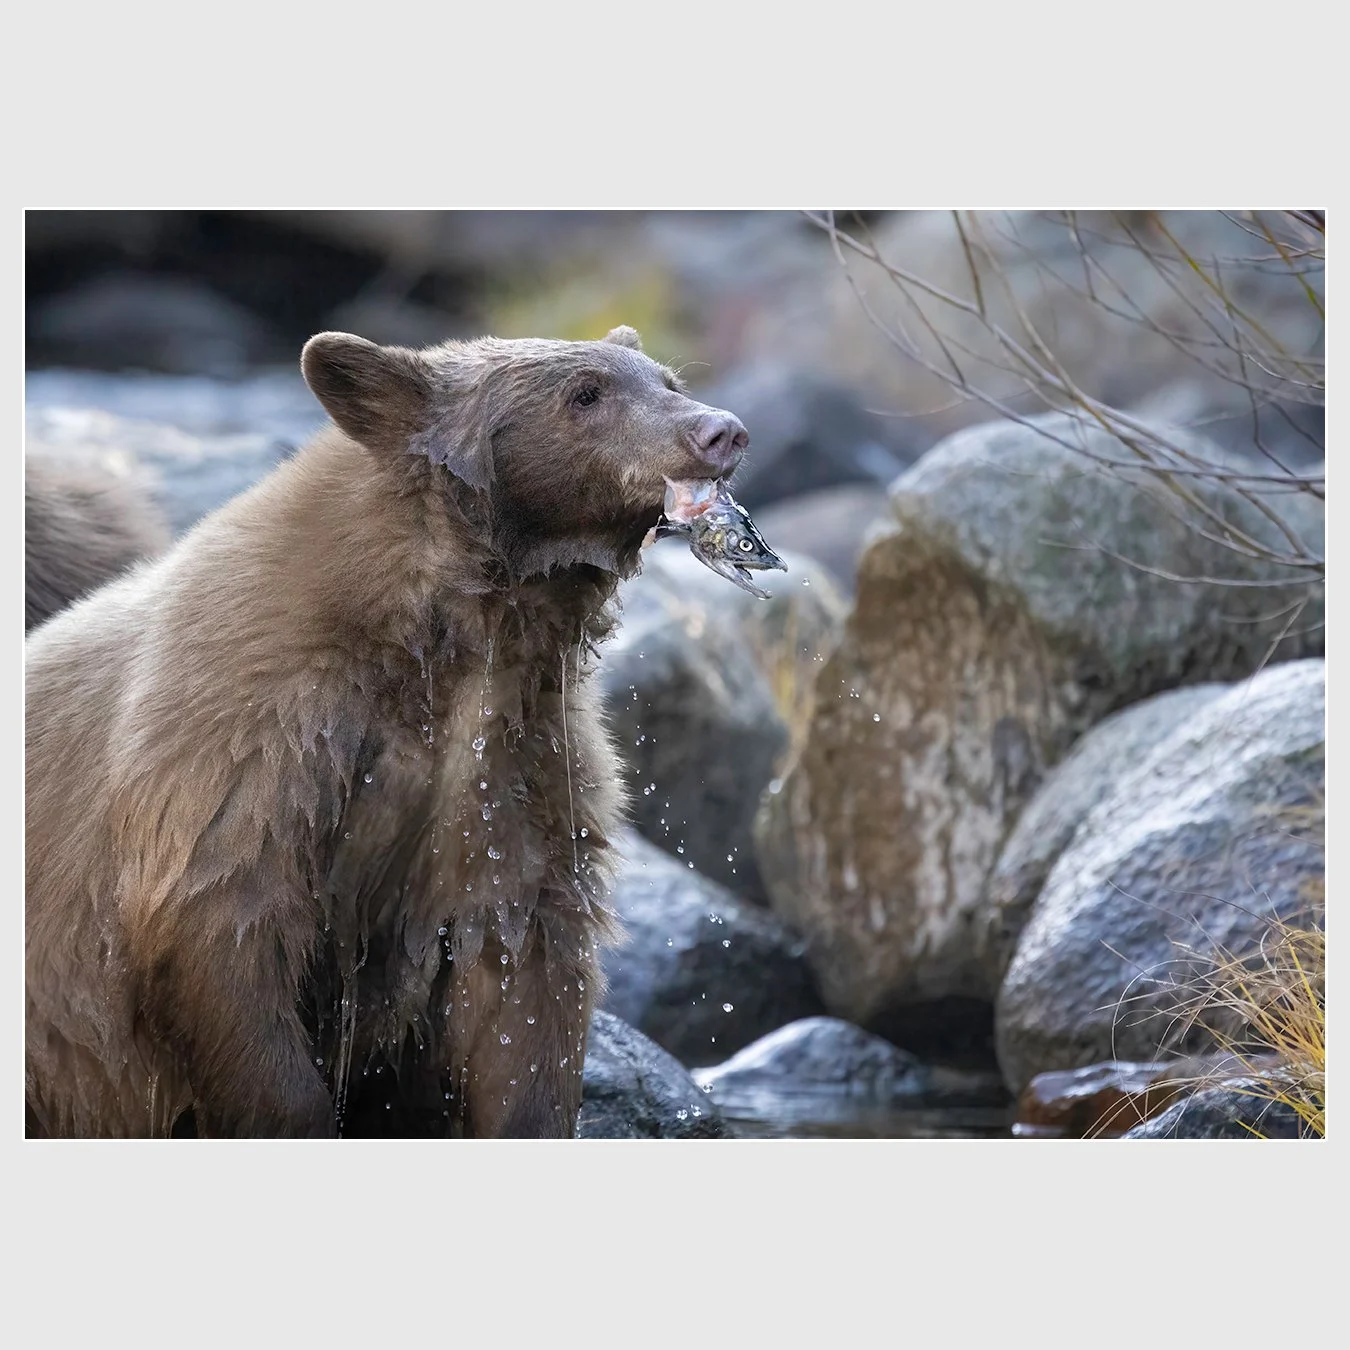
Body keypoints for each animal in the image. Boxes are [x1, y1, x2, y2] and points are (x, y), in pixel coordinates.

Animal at [24, 324, 747, 1138]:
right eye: (586, 393)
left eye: (668, 380)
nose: (719, 430)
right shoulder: (243, 738)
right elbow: (222, 922)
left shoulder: (516, 770)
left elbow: (523, 965)